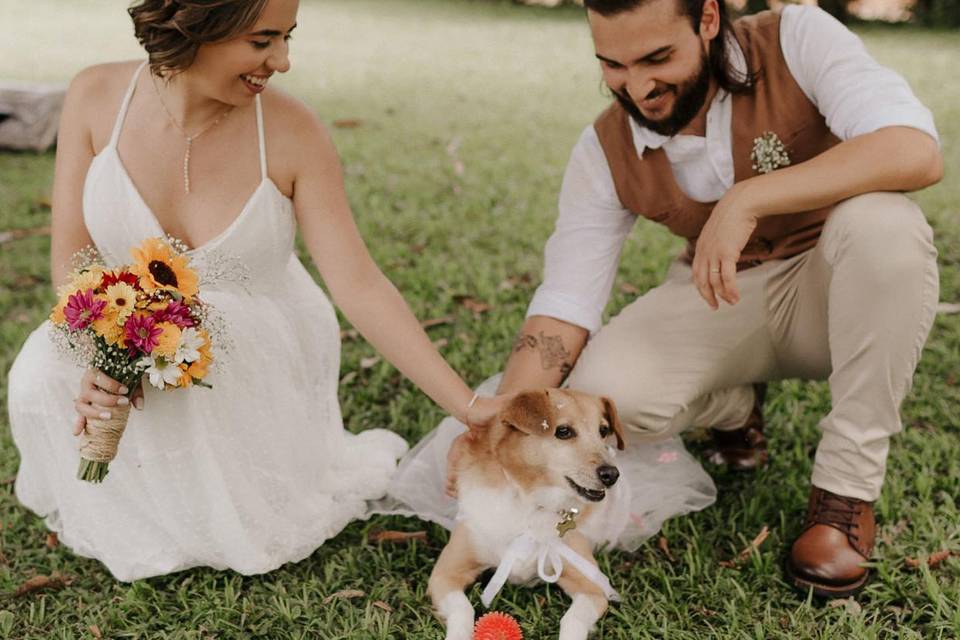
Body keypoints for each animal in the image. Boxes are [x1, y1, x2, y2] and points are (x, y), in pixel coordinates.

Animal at [430, 388, 628, 636]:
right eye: (563, 431)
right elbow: (463, 609)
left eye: (603, 431)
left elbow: (572, 620)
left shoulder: (592, 585)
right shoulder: (444, 573)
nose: (612, 474)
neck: (531, 503)